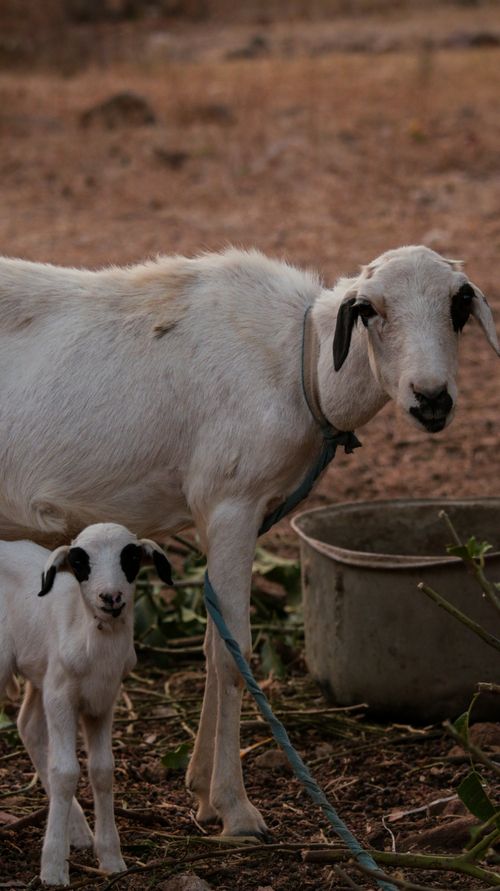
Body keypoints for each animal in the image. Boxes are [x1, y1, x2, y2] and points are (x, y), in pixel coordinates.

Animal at [0, 245, 497, 840]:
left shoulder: (229, 518)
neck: (302, 363)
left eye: (458, 304)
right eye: (370, 309)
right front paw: (237, 810)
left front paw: (201, 790)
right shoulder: (232, 503)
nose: (431, 398)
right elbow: (234, 655)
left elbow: (215, 643)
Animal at [0, 523, 172, 886]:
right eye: (80, 562)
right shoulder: (61, 697)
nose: (111, 598)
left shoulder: (101, 701)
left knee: (28, 726)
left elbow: (102, 770)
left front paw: (111, 858)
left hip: (41, 671)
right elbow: (65, 771)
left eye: (130, 557)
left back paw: (77, 831)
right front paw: (53, 868)